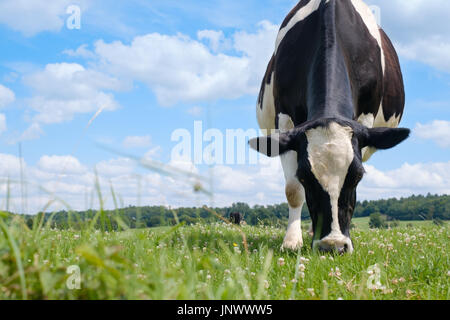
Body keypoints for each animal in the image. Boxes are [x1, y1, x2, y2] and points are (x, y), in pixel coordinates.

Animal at [251, 0, 410, 255]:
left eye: (357, 176)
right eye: (305, 177)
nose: (333, 245)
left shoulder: (365, 117)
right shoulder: (284, 121)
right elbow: (293, 191)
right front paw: (291, 241)